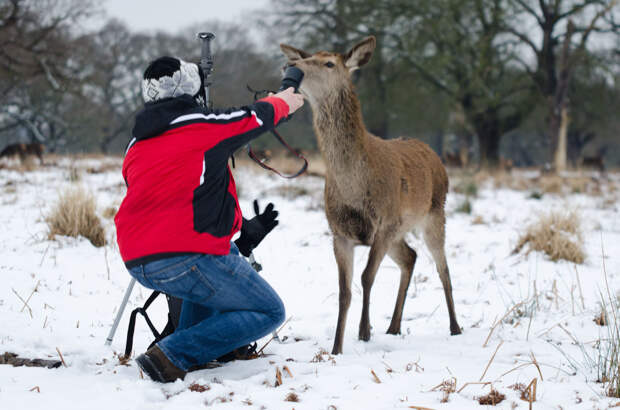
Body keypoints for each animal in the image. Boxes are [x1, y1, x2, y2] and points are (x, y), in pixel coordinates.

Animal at [280, 36, 460, 354]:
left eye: (329, 63)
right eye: (305, 57)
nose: (291, 65)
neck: (353, 187)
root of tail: (435, 155)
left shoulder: (384, 223)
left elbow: (367, 277)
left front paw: (364, 332)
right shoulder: (340, 232)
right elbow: (344, 290)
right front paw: (337, 348)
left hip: (434, 213)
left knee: (443, 267)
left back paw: (455, 327)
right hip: (400, 231)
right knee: (410, 257)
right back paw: (394, 326)